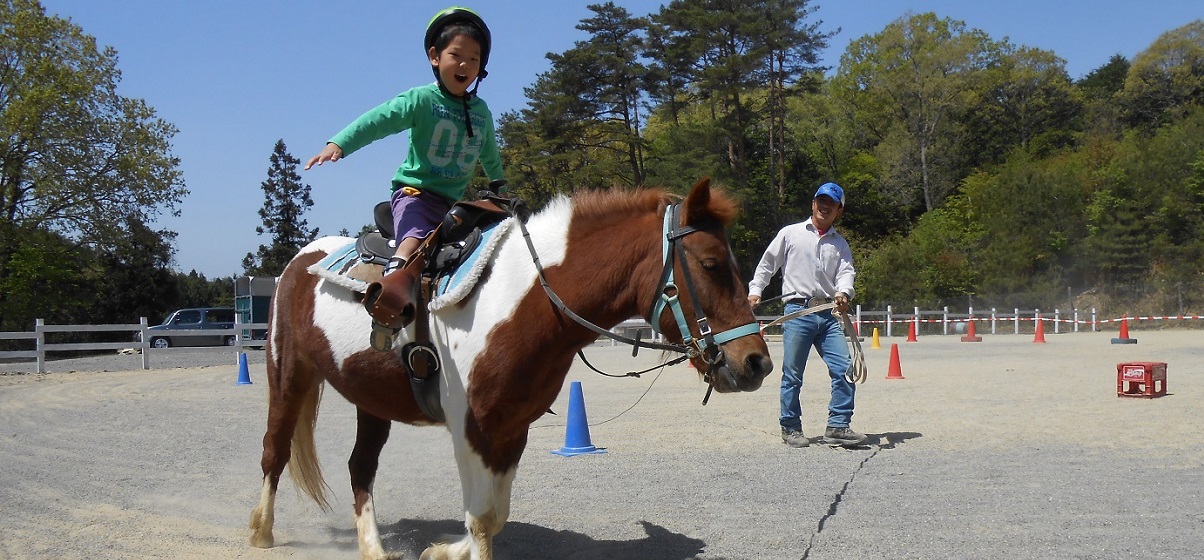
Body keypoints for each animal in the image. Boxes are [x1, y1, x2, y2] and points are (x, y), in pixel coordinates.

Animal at [249, 178, 775, 558]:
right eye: (711, 264)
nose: (757, 363)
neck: (527, 300)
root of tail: (300, 260)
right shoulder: (472, 427)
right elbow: (483, 518)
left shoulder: (512, 427)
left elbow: (493, 516)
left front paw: (442, 550)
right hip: (287, 373)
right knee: (274, 451)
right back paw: (261, 531)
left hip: (372, 399)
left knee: (361, 466)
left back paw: (374, 548)